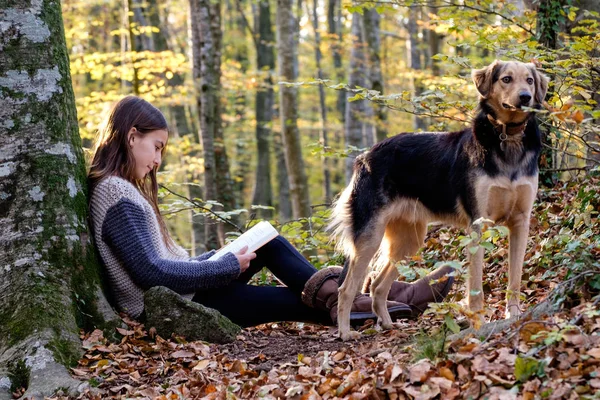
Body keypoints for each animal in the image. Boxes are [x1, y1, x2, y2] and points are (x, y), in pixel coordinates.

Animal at [330, 60, 552, 340]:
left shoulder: (521, 223)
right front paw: (478, 326)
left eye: (530, 81)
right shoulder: (478, 226)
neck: (507, 137)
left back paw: (389, 324)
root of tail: (366, 156)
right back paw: (345, 332)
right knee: (347, 289)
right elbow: (476, 288)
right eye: (506, 79)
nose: (524, 97)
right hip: (370, 237)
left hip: (409, 241)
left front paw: (513, 315)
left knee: (378, 286)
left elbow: (515, 278)